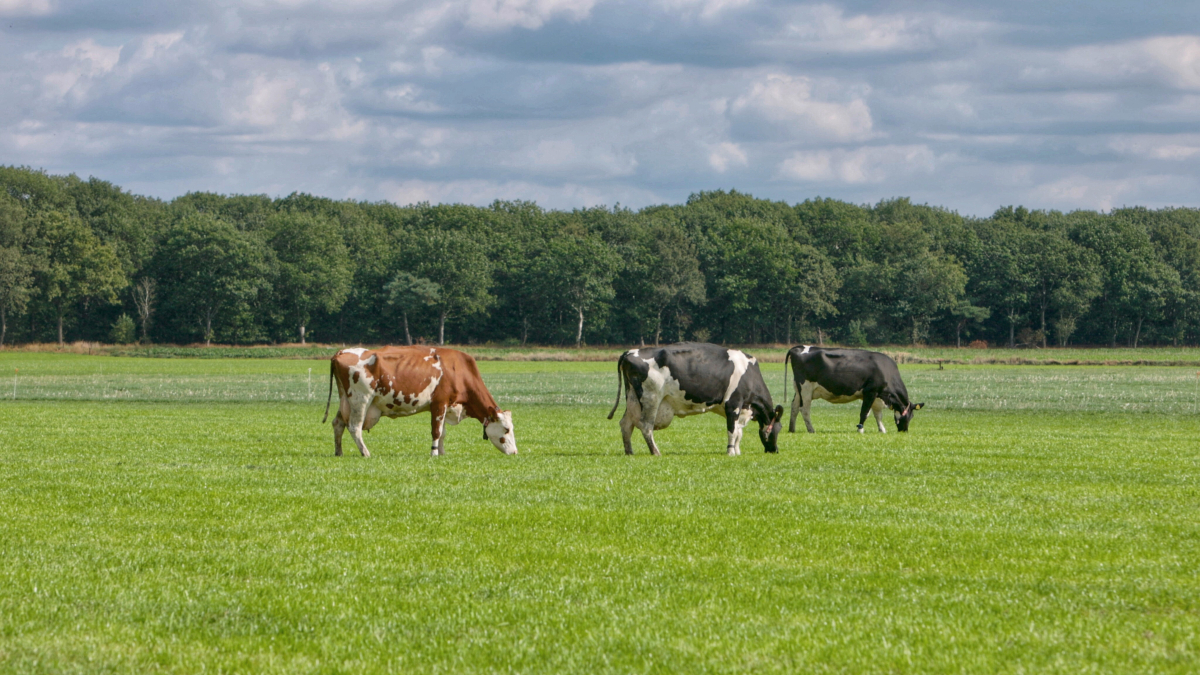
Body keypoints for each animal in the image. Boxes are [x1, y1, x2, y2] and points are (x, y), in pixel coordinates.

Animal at [322, 346, 517, 457]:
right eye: (506, 429)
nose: (514, 452)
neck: (457, 369)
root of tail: (341, 352)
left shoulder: (445, 406)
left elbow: (443, 433)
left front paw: (442, 453)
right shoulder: (439, 403)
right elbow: (436, 432)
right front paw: (434, 453)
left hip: (346, 401)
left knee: (338, 423)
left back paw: (339, 452)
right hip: (360, 400)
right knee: (354, 427)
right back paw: (365, 452)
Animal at [607, 342, 783, 456]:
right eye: (779, 428)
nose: (775, 450)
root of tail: (630, 352)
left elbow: (739, 432)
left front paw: (737, 451)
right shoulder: (733, 403)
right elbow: (732, 431)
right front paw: (731, 451)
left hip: (633, 398)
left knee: (626, 424)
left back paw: (629, 452)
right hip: (651, 398)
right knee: (645, 425)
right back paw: (655, 452)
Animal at [783, 345, 923, 434]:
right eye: (909, 416)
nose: (904, 431)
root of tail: (797, 348)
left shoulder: (877, 396)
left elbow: (878, 414)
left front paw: (882, 430)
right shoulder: (870, 392)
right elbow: (865, 413)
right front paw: (860, 429)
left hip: (798, 390)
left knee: (794, 407)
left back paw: (791, 429)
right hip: (806, 388)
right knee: (804, 409)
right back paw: (811, 430)